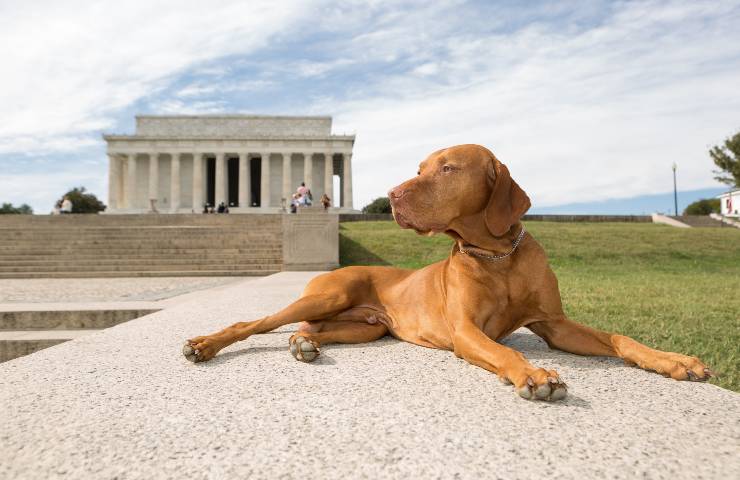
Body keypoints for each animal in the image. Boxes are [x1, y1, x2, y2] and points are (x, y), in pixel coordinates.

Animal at [182, 143, 712, 402]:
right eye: (419, 167)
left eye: (448, 169)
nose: (391, 195)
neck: (499, 257)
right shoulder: (465, 331)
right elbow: (505, 351)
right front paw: (533, 373)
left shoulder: (556, 326)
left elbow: (622, 338)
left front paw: (675, 361)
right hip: (325, 296)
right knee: (253, 323)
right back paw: (204, 344)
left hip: (366, 328)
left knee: (310, 330)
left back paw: (304, 344)